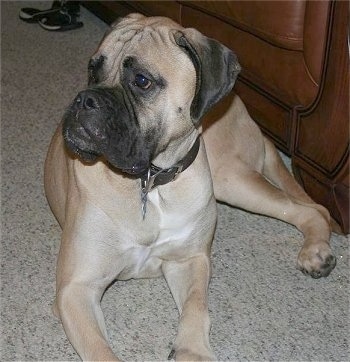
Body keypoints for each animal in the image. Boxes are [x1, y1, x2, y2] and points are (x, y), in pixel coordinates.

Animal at [43, 12, 336, 360]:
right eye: (93, 69)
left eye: (142, 80)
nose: (85, 99)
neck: (150, 182)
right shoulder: (76, 289)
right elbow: (102, 352)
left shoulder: (190, 260)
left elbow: (197, 307)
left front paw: (192, 350)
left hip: (231, 180)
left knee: (314, 208)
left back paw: (317, 251)